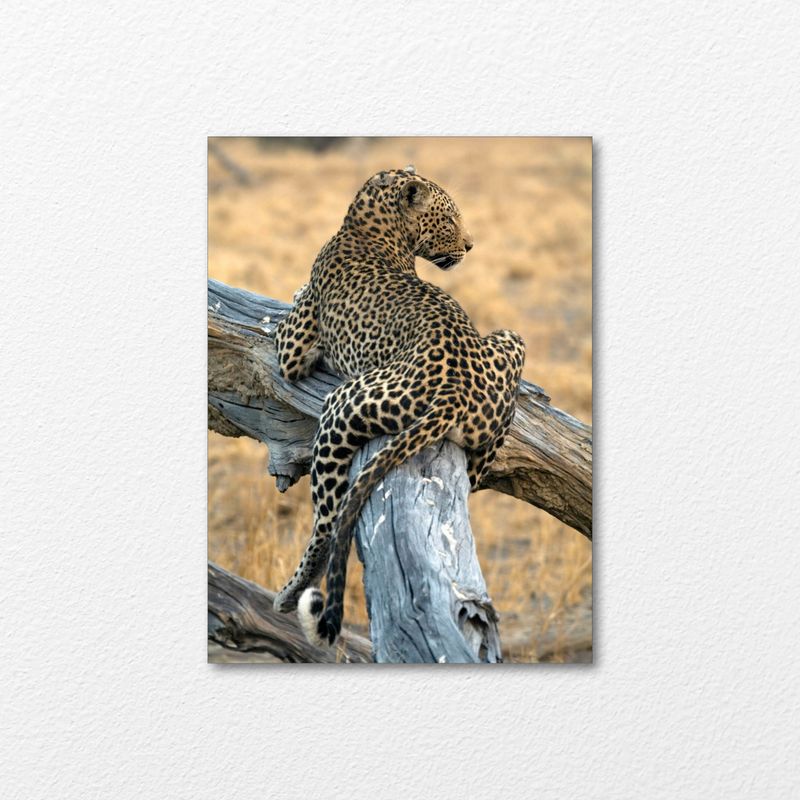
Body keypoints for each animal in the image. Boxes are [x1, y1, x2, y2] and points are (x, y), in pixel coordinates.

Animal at [272, 165, 526, 648]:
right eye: (451, 219)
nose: (470, 245)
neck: (366, 225)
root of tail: (454, 392)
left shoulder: (291, 353)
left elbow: (286, 317)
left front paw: (293, 289)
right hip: (510, 340)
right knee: (479, 467)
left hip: (342, 404)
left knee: (327, 524)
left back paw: (292, 591)